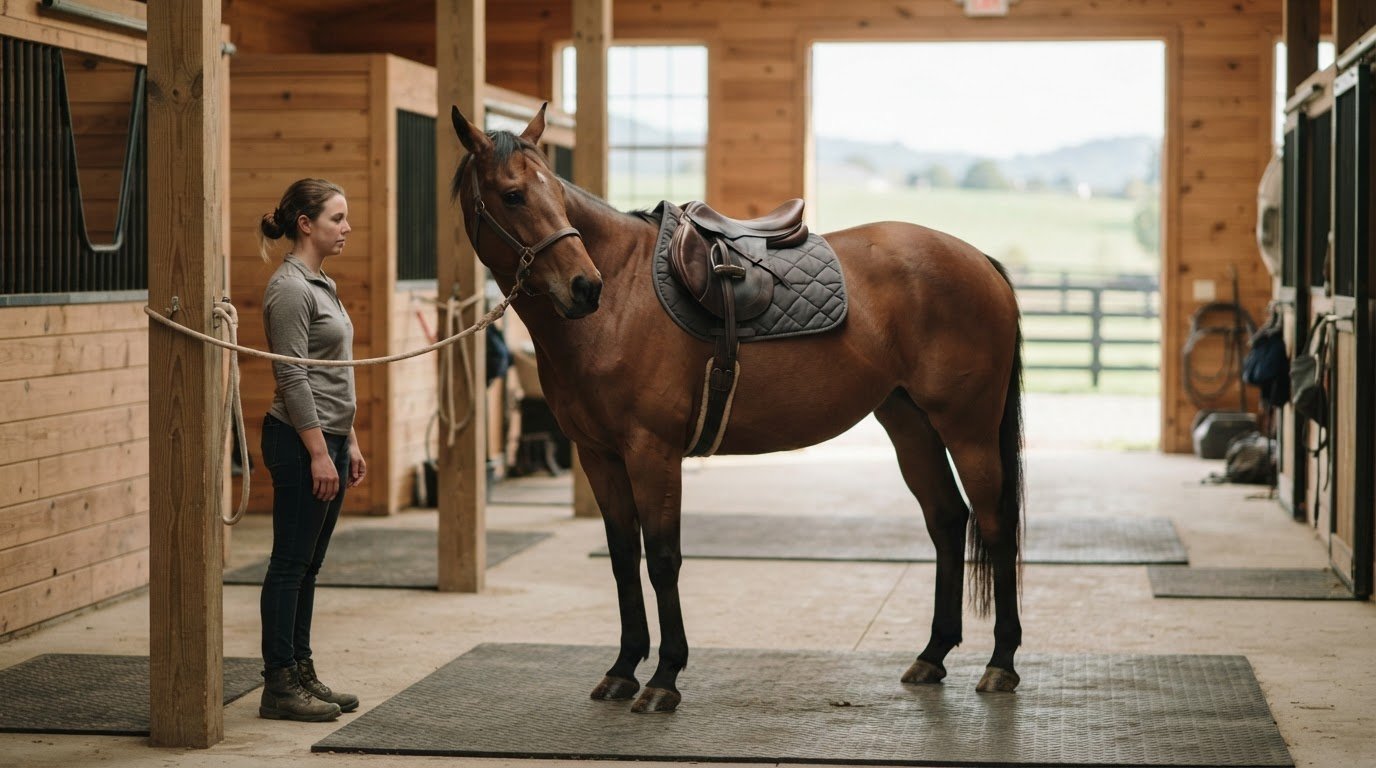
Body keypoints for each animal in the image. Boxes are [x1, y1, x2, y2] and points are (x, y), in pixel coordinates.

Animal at [449, 104, 1024, 714]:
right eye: (512, 195)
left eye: (556, 192)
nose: (584, 287)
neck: (624, 296)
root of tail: (980, 261)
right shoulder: (598, 456)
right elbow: (623, 557)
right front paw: (624, 668)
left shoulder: (652, 453)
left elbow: (663, 558)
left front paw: (665, 676)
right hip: (911, 426)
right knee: (947, 520)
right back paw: (933, 654)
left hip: (969, 430)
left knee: (995, 526)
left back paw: (1001, 662)